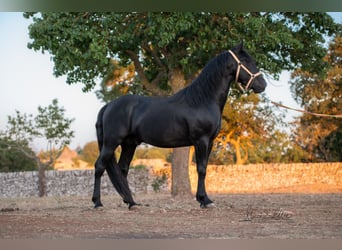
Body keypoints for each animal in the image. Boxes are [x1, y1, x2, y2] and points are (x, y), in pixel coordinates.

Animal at [91, 43, 268, 209]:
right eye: (246, 61)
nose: (263, 85)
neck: (202, 100)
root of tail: (109, 106)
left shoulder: (210, 142)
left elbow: (204, 168)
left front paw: (204, 199)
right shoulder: (201, 140)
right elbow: (201, 169)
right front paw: (204, 200)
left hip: (129, 144)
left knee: (122, 170)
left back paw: (131, 202)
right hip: (111, 142)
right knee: (99, 166)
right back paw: (98, 202)